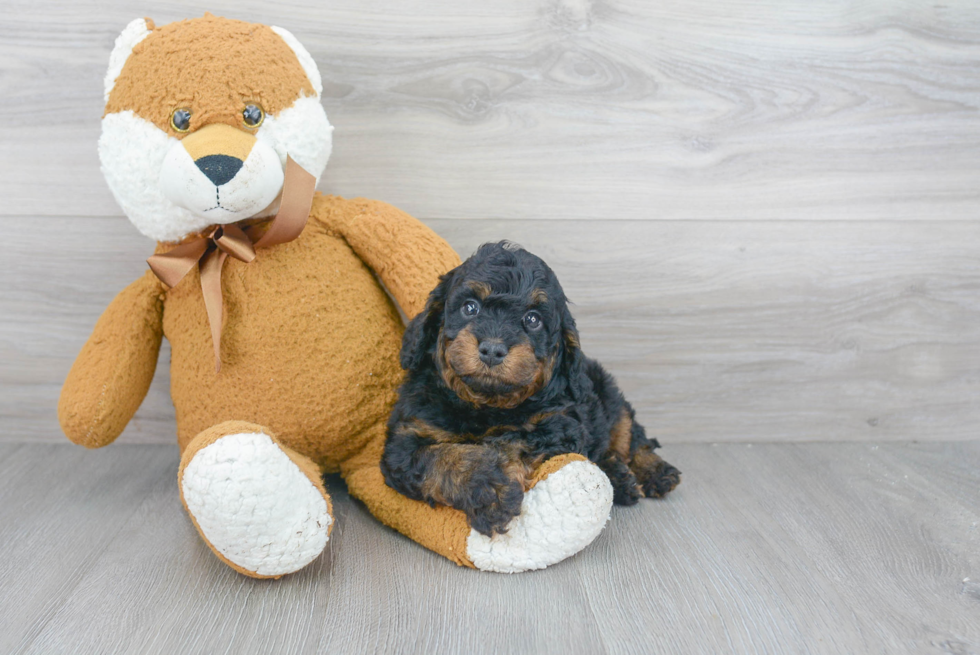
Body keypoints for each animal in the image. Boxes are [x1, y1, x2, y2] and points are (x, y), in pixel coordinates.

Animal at [380, 242, 680, 540]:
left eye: (533, 319)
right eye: (470, 307)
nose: (492, 349)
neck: (486, 406)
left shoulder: (560, 424)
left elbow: (513, 439)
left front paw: (494, 487)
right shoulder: (405, 440)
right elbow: (441, 457)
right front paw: (487, 485)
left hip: (609, 394)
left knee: (631, 436)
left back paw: (654, 471)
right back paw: (620, 477)